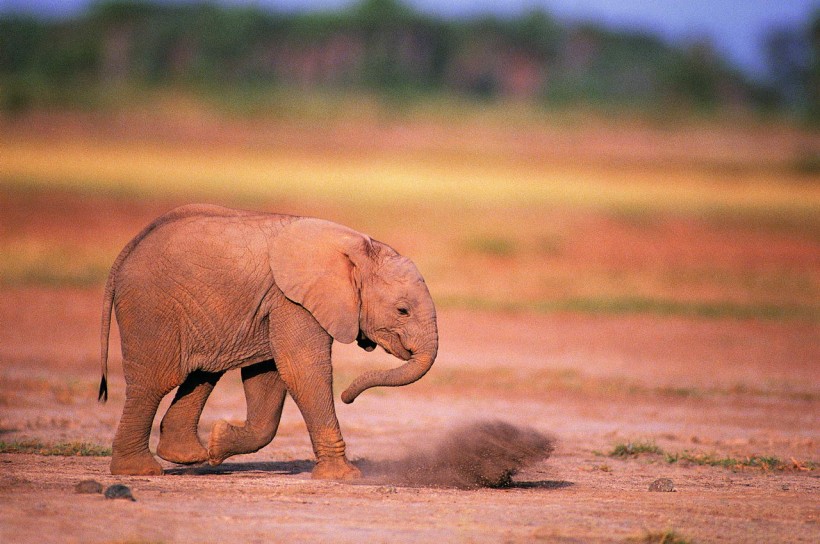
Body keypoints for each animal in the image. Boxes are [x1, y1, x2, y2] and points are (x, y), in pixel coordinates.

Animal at [97, 206, 436, 478]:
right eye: (402, 310)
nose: (347, 397)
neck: (358, 249)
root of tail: (126, 252)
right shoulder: (292, 300)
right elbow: (302, 370)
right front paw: (345, 476)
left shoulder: (276, 304)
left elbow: (268, 375)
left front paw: (219, 442)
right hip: (151, 307)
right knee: (153, 383)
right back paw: (139, 471)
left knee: (203, 373)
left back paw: (190, 456)